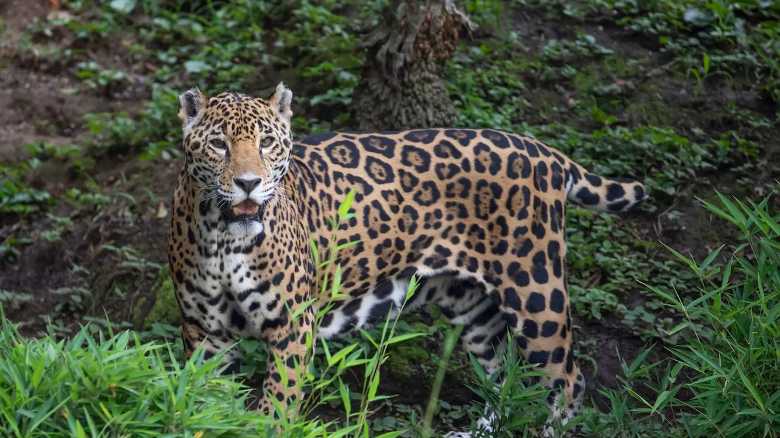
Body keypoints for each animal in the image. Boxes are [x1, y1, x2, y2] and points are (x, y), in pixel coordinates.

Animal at [168, 83, 648, 436]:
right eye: (218, 144)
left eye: (267, 142)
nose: (249, 183)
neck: (225, 241)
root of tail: (544, 151)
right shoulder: (203, 331)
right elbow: (203, 397)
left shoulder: (292, 325)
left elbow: (279, 403)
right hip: (473, 306)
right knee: (505, 375)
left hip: (535, 289)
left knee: (566, 381)